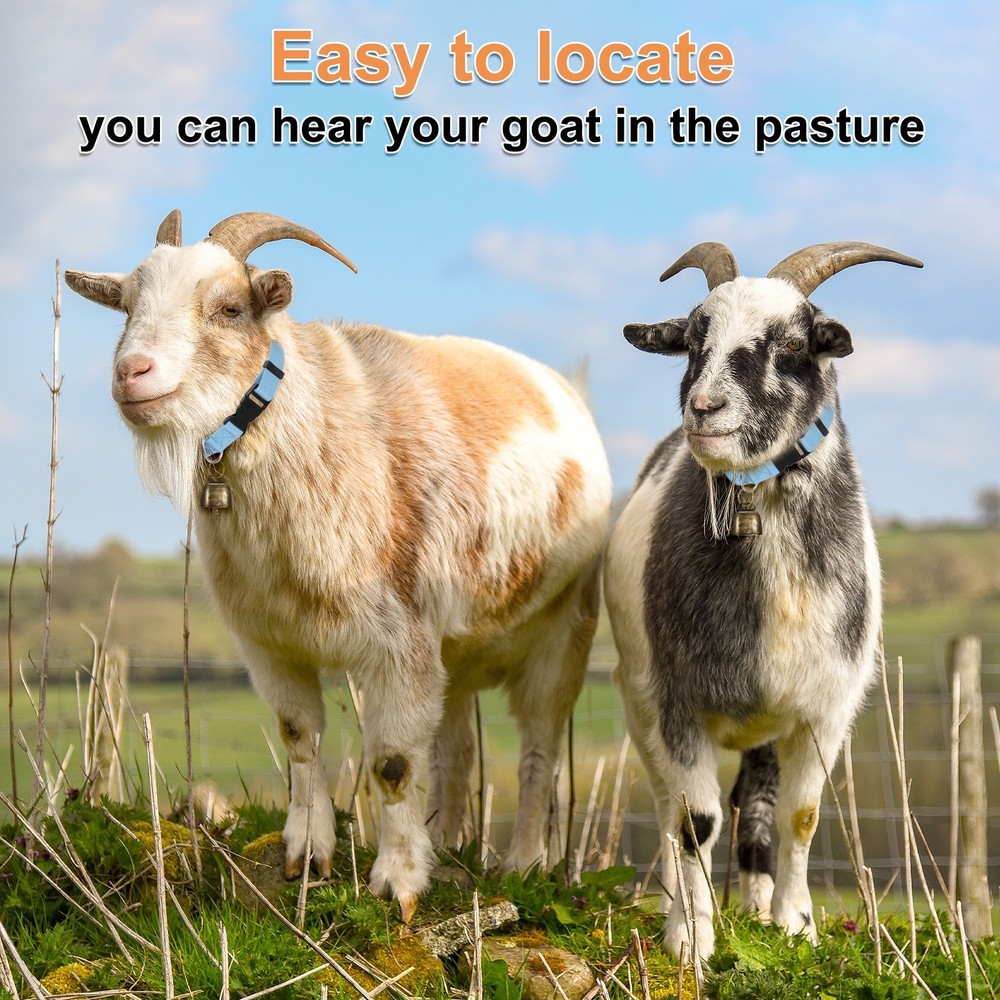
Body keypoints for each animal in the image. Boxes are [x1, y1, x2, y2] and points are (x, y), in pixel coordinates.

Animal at [65, 210, 612, 920]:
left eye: (230, 308)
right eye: (127, 304)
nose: (133, 373)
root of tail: (566, 391)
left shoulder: (399, 642)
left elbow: (392, 763)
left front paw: (398, 885)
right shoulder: (270, 642)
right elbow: (300, 737)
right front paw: (307, 853)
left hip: (564, 628)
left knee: (539, 749)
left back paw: (522, 864)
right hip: (455, 653)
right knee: (456, 750)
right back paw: (450, 843)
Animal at [603, 241, 921, 957]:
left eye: (796, 342)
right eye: (694, 340)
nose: (704, 407)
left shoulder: (824, 709)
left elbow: (802, 817)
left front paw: (795, 924)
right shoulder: (676, 701)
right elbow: (694, 821)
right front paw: (691, 938)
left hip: (767, 724)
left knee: (758, 802)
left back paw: (754, 904)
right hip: (638, 701)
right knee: (668, 806)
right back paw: (682, 899)